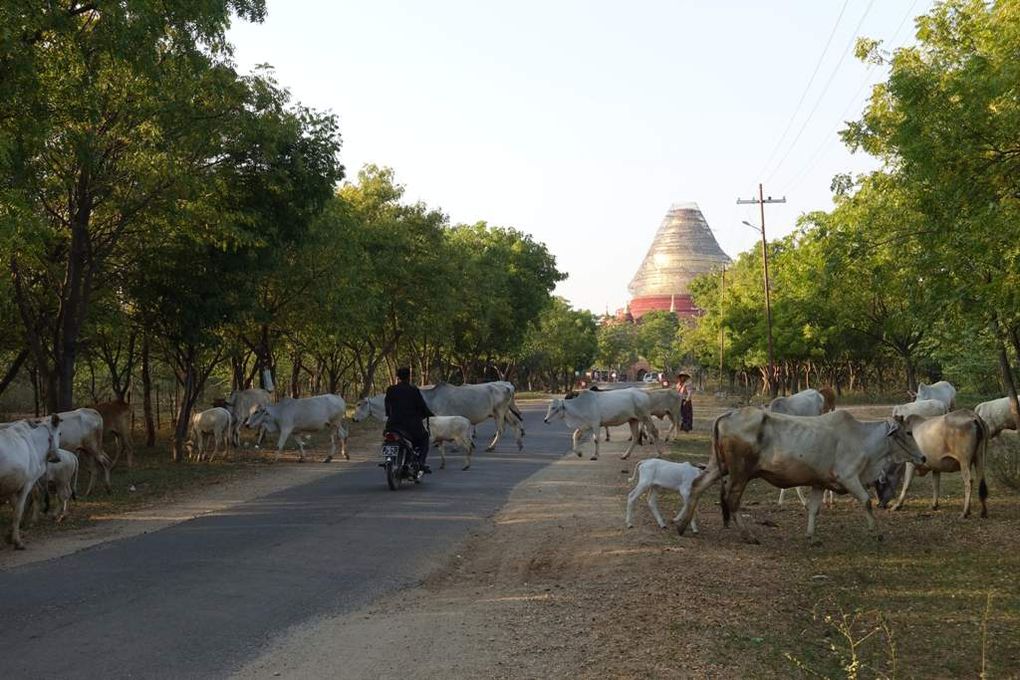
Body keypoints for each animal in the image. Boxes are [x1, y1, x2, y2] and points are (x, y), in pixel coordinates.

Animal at [0, 415, 60, 554]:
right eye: (60, 433)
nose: (57, 458)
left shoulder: (11, 487)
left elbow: (15, 509)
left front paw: (9, 536)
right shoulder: (26, 484)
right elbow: (18, 512)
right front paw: (17, 542)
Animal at [677, 407, 926, 546]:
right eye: (908, 432)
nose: (923, 457)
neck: (862, 438)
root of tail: (728, 414)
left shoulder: (819, 482)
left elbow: (814, 509)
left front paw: (812, 537)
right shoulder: (849, 477)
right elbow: (866, 501)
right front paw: (877, 534)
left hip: (720, 467)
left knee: (698, 485)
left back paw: (682, 525)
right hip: (741, 472)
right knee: (732, 500)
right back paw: (748, 536)